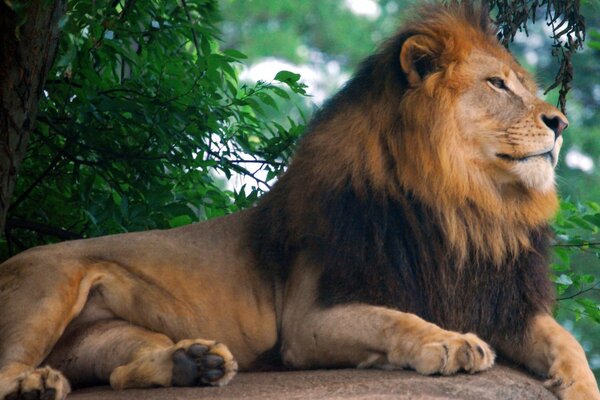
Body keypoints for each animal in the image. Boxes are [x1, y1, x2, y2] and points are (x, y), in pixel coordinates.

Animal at [1, 3, 600, 400]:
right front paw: (450, 343)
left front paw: (579, 385)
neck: (464, 205)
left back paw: (193, 364)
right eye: (497, 84)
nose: (560, 122)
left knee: (122, 372)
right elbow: (395, 320)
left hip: (106, 334)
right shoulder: (308, 319)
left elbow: (566, 342)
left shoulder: (501, 303)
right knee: (9, 366)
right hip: (49, 286)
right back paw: (34, 383)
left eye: (525, 84)